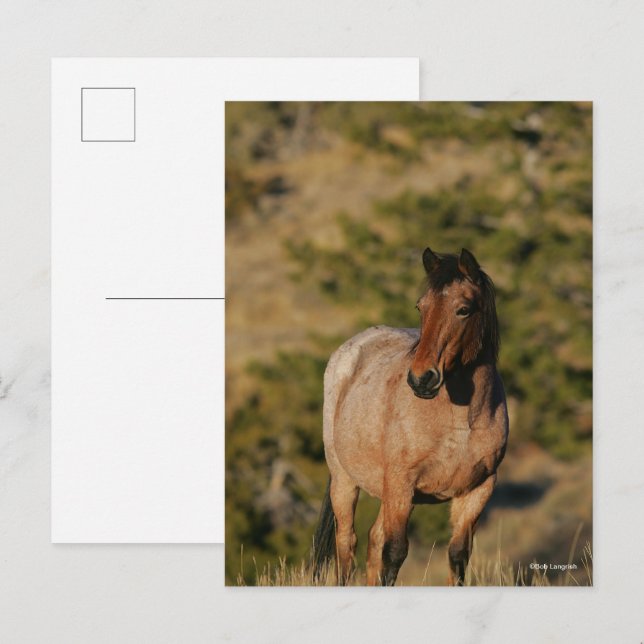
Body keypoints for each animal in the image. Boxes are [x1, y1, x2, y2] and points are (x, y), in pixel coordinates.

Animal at [313, 246, 509, 586]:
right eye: (421, 306)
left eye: (463, 309)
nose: (421, 379)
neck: (461, 422)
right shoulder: (402, 483)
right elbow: (394, 553)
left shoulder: (477, 490)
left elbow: (458, 557)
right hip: (345, 480)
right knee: (347, 544)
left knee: (373, 540)